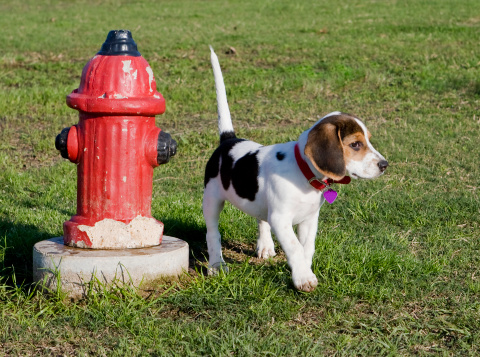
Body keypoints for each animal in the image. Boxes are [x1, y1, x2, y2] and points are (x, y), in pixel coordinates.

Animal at [202, 47, 386, 290]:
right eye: (355, 144)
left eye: (368, 140)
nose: (384, 165)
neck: (305, 175)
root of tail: (228, 140)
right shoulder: (281, 219)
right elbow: (295, 247)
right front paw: (304, 278)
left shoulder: (310, 219)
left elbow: (306, 248)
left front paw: (302, 270)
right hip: (212, 199)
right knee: (213, 233)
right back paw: (216, 265)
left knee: (261, 218)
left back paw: (265, 245)